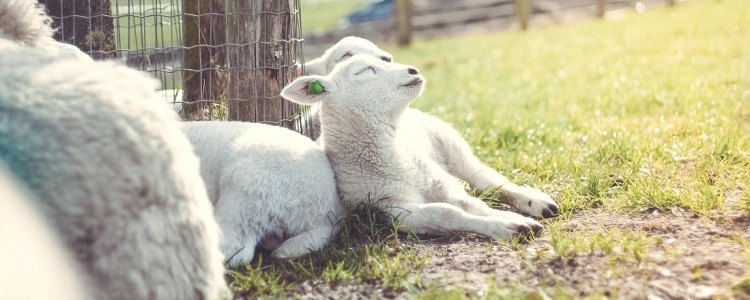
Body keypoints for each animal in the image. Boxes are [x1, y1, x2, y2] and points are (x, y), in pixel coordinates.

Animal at [282, 54, 552, 241]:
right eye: (363, 70)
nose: (413, 70)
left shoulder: (440, 182)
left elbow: (472, 204)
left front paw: (511, 218)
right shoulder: (391, 209)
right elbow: (447, 213)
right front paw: (509, 226)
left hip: (449, 140)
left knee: (485, 179)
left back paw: (536, 202)